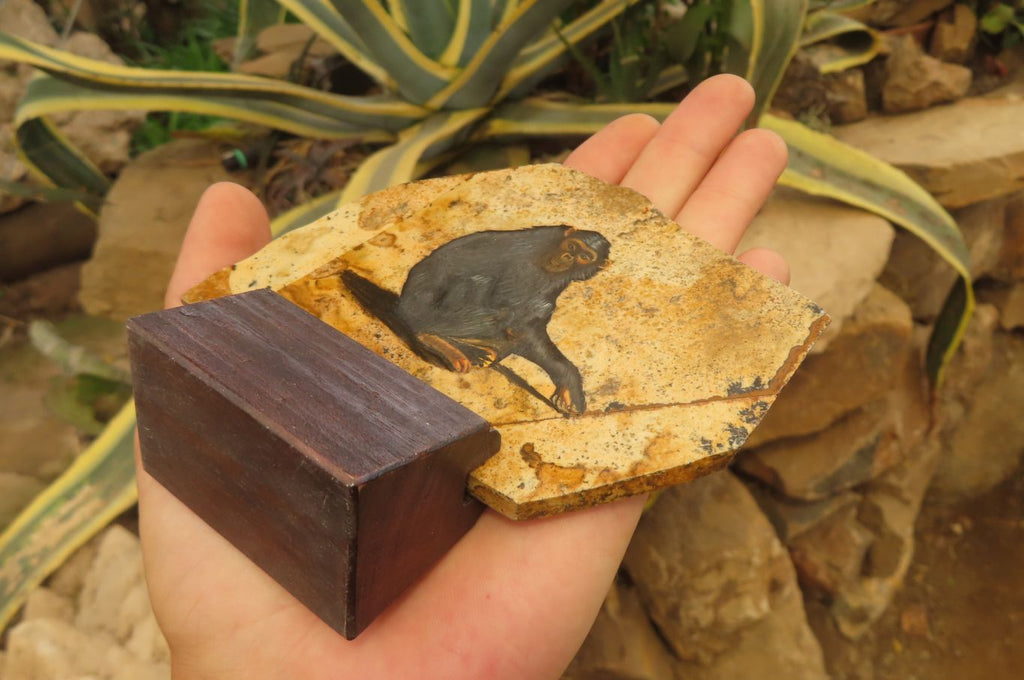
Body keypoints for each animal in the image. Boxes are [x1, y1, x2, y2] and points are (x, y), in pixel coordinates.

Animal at [341, 225, 610, 415]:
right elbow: (515, 317)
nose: (566, 256)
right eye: (572, 247)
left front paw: (567, 381)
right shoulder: (526, 264)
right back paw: (438, 340)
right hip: (425, 312)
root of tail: (401, 305)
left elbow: (531, 321)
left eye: (584, 256)